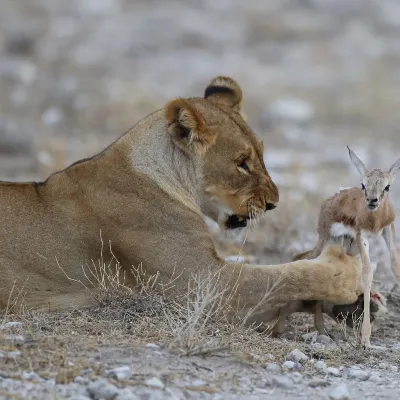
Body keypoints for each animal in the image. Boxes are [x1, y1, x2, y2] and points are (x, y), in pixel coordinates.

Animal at [290, 146, 400, 346]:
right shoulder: (361, 235)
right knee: (300, 259)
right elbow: (367, 273)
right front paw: (365, 339)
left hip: (347, 246)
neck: (374, 220)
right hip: (327, 240)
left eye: (387, 186)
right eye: (363, 184)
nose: (372, 200)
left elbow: (396, 267)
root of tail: (332, 198)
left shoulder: (388, 229)